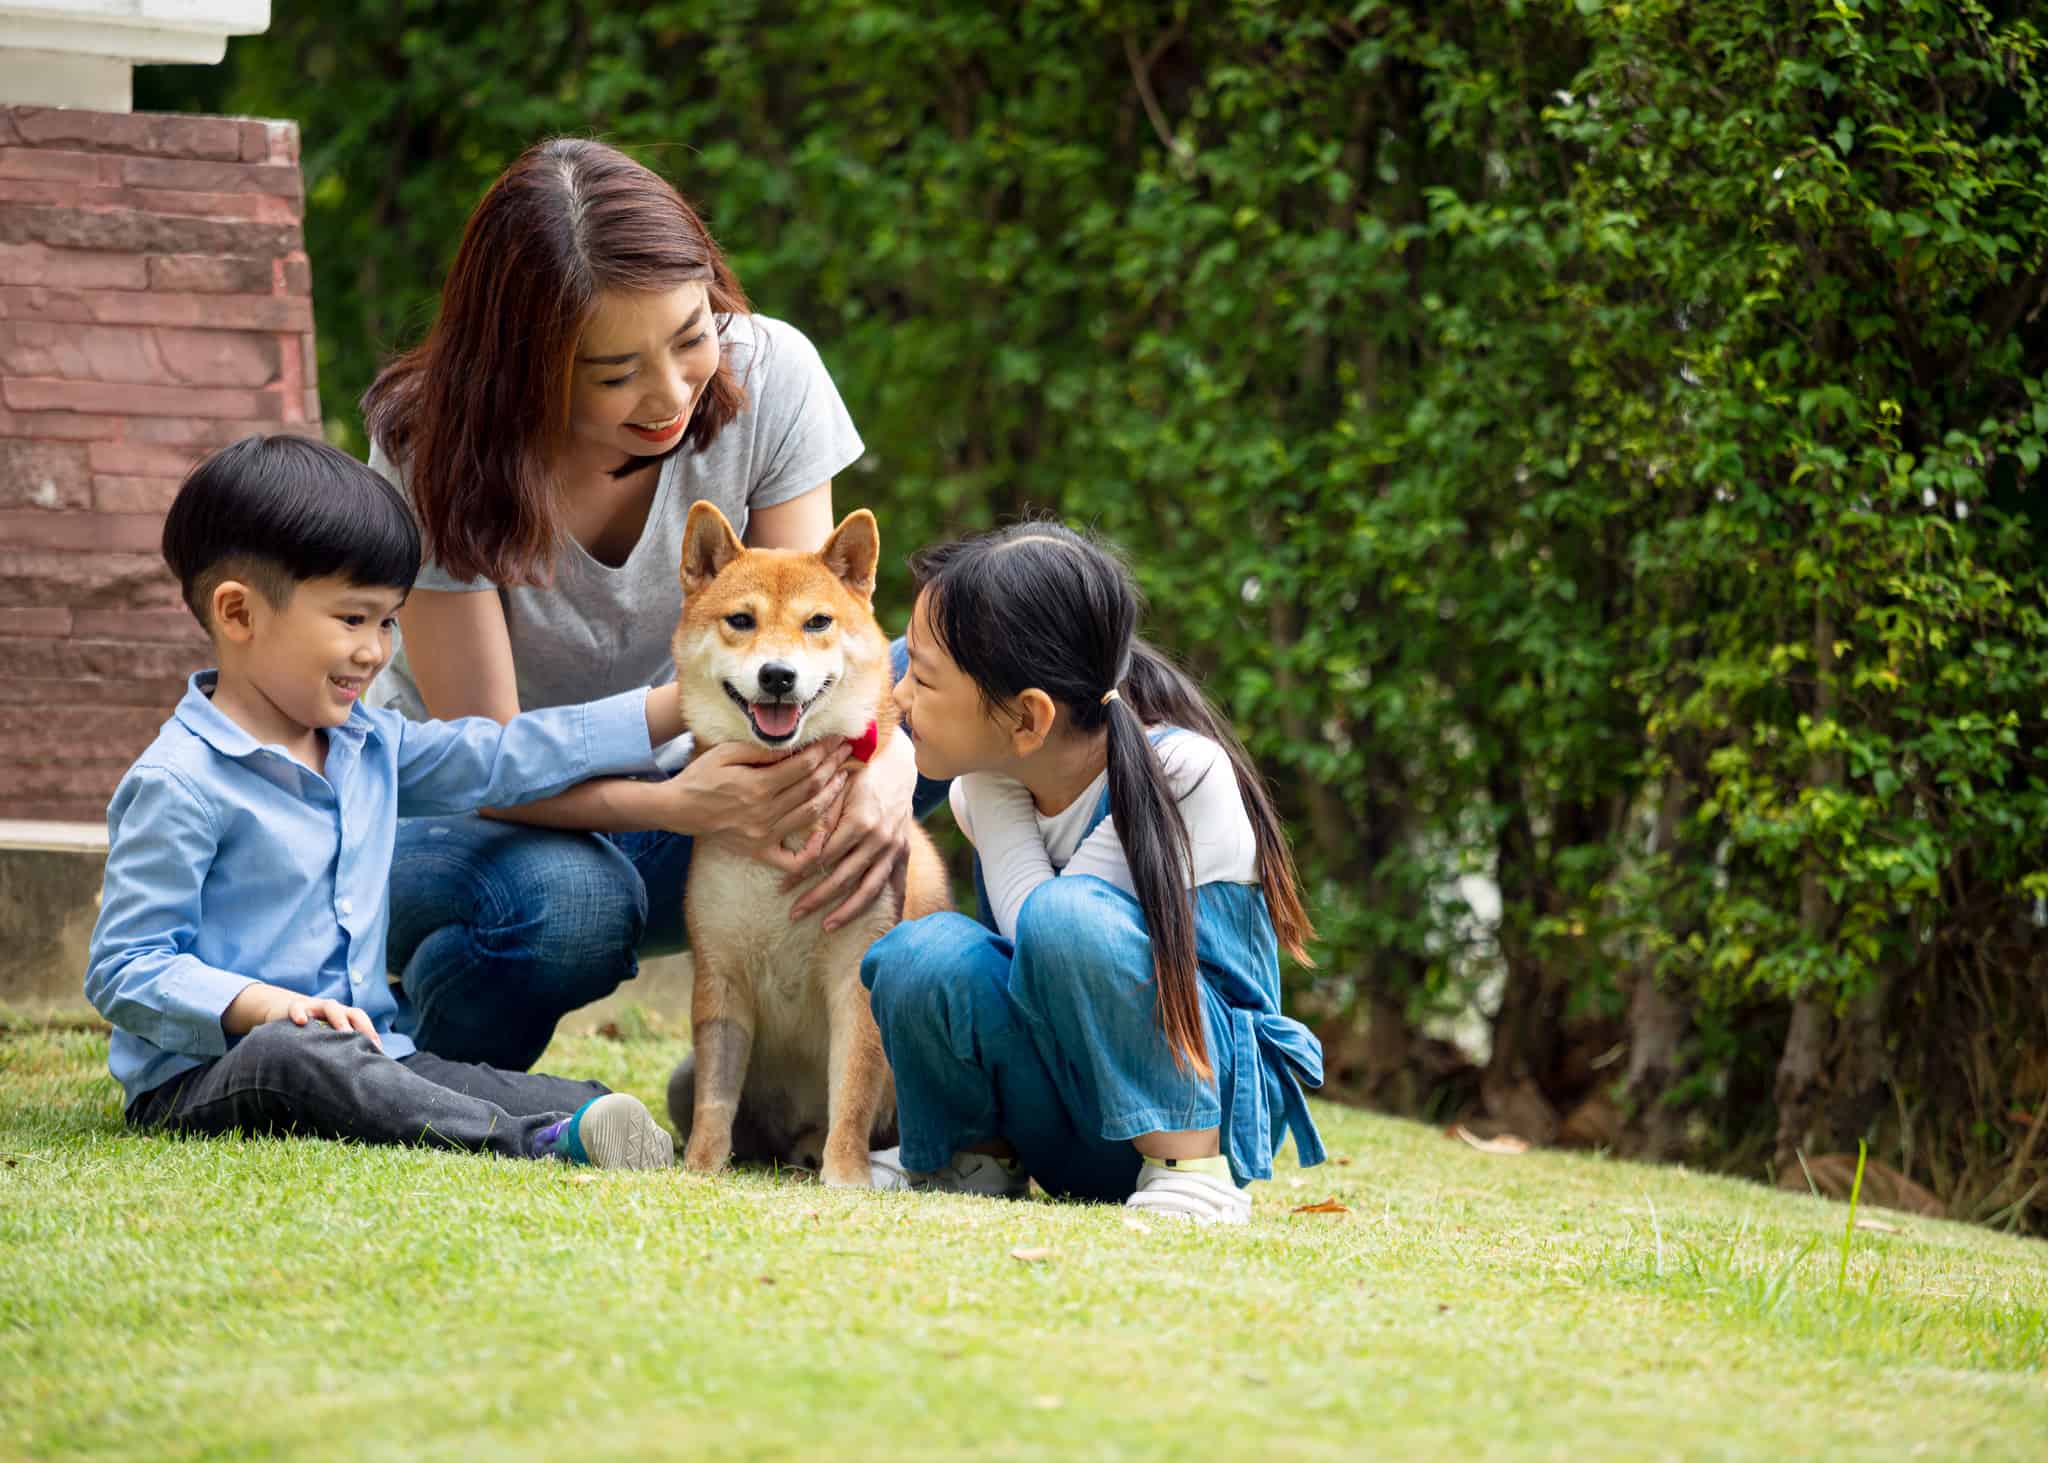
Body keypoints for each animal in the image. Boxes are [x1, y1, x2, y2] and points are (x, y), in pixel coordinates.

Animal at [663, 502, 950, 1188]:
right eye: (741, 620)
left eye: (817, 622)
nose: (777, 675)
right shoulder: (721, 977)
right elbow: (716, 1098)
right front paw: (701, 1167)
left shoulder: (857, 973)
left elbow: (852, 1090)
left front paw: (846, 1177)